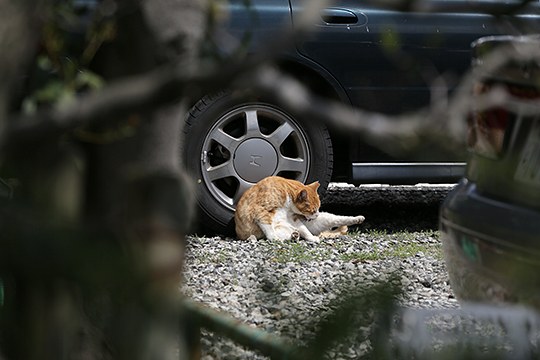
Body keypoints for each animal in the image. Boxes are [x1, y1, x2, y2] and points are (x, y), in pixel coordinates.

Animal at [234, 175, 364, 242]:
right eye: (313, 210)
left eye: (318, 209)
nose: (316, 214)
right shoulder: (260, 212)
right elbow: (269, 229)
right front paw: (274, 238)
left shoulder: (295, 220)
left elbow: (305, 232)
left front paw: (312, 238)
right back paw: (293, 236)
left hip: (325, 219)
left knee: (337, 219)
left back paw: (358, 218)